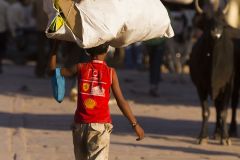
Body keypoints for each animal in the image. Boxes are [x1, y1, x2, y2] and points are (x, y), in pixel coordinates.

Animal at [189, 0, 240, 145]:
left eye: (222, 20)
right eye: (207, 20)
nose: (216, 33)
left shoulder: (228, 85)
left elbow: (224, 111)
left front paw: (226, 138)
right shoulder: (200, 87)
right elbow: (206, 112)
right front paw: (203, 136)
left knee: (233, 104)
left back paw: (231, 130)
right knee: (217, 106)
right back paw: (216, 133)